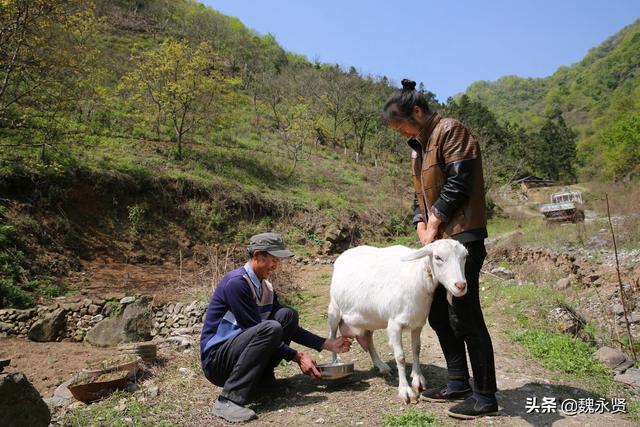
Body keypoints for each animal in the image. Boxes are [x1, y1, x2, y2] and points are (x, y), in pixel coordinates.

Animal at [328, 241, 468, 404]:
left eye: (465, 256)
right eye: (438, 257)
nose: (460, 285)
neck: (416, 277)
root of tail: (346, 253)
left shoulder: (418, 323)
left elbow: (416, 349)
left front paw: (418, 380)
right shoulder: (394, 324)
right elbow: (400, 357)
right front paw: (405, 391)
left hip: (368, 319)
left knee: (369, 340)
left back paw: (381, 366)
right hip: (334, 310)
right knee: (332, 336)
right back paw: (335, 363)